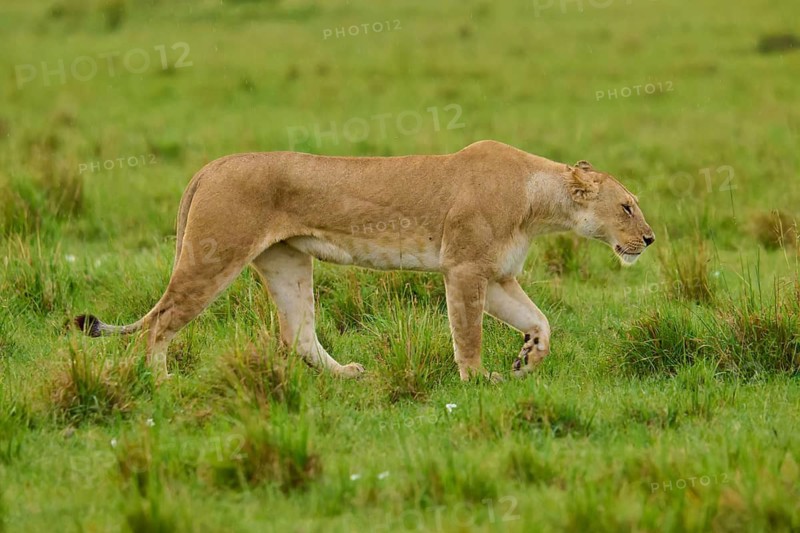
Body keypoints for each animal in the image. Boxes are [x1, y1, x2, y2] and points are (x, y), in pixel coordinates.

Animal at [74, 140, 654, 381]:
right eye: (627, 206)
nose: (648, 239)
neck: (538, 203)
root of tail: (210, 165)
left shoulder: (497, 275)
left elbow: (541, 320)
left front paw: (528, 359)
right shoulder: (464, 268)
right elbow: (467, 334)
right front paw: (477, 381)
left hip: (287, 263)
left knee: (299, 336)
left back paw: (348, 376)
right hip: (212, 257)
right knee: (160, 323)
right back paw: (162, 383)